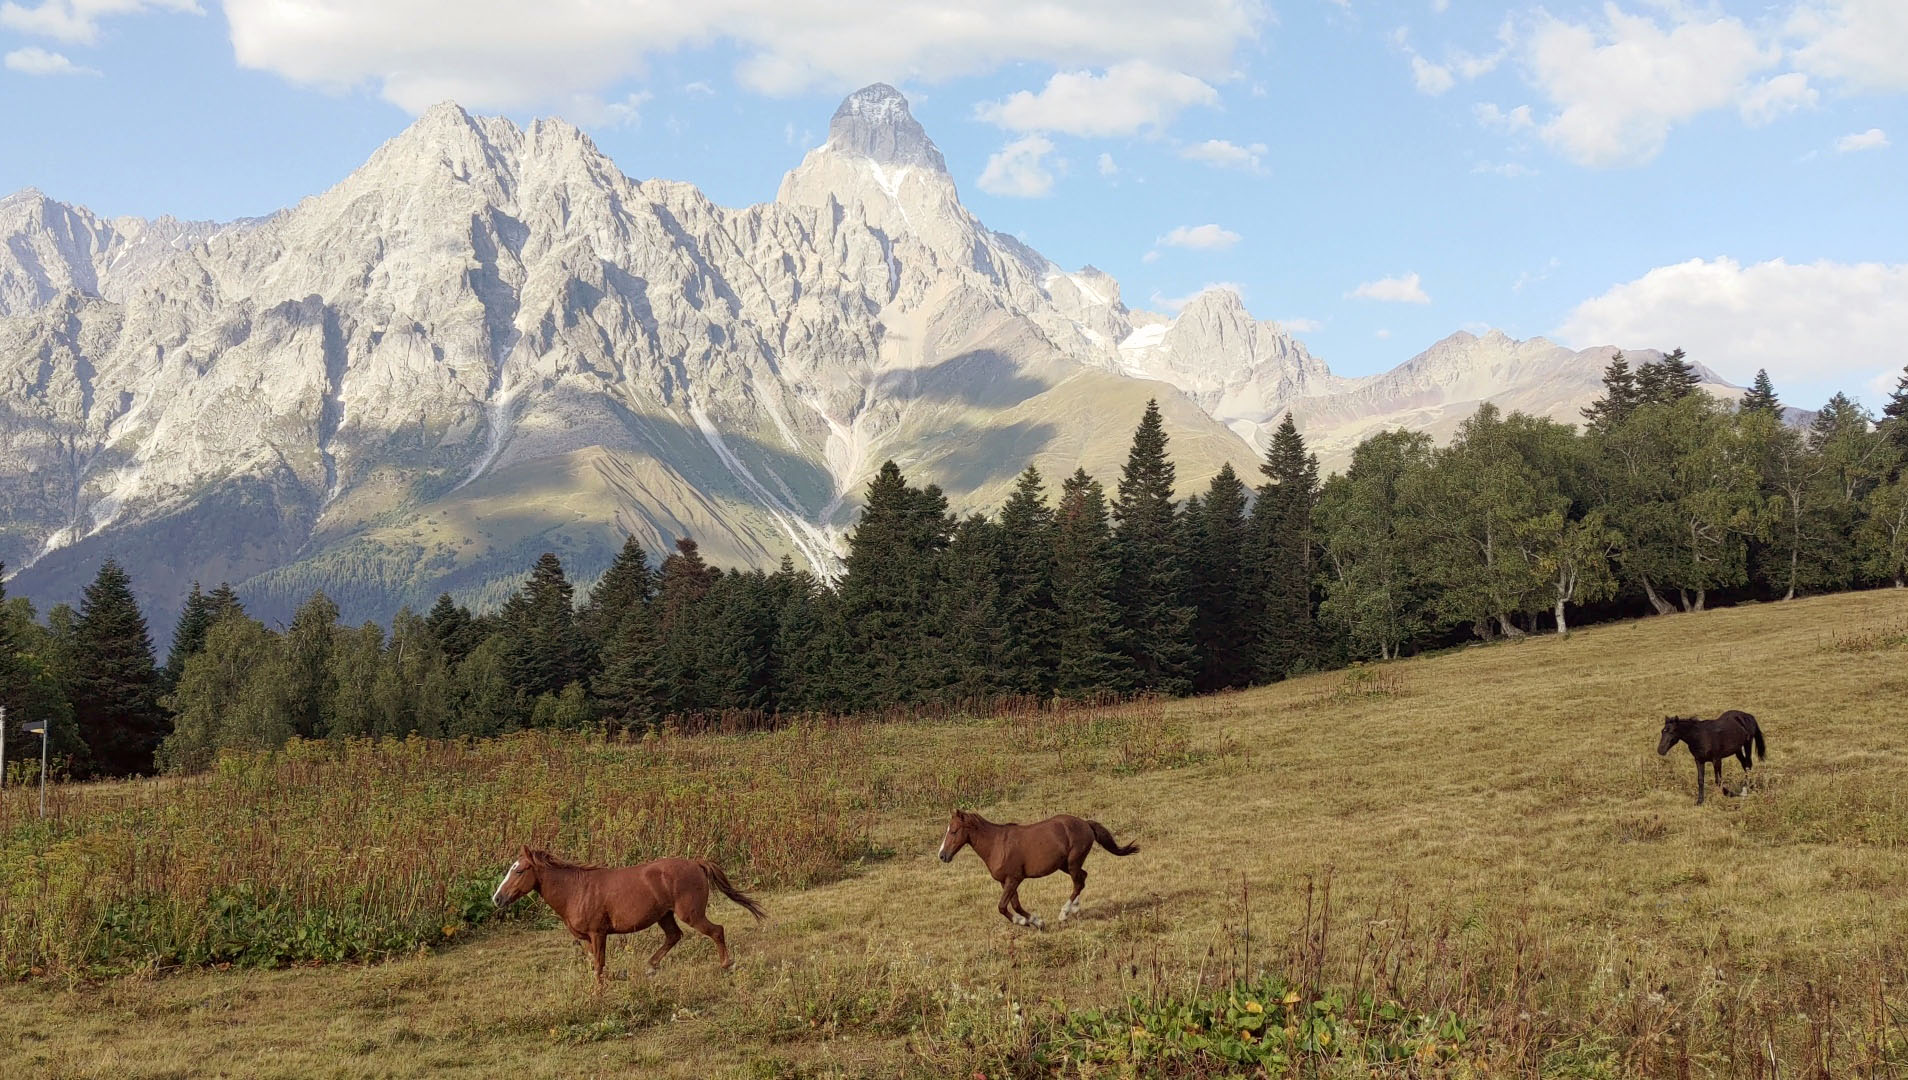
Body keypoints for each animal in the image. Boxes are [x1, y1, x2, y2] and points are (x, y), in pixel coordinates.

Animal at [491, 846, 766, 980]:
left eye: (519, 871)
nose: (497, 899)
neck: (575, 890)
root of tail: (697, 863)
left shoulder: (598, 933)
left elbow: (599, 965)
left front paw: (599, 993)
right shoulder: (586, 938)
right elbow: (596, 965)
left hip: (691, 913)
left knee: (716, 931)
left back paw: (727, 964)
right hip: (664, 915)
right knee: (674, 936)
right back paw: (651, 967)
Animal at [936, 809, 1138, 929]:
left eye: (953, 831)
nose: (942, 856)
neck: (996, 845)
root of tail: (1085, 823)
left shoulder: (1014, 879)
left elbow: (1002, 906)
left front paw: (1029, 921)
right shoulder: (1006, 881)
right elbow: (1015, 905)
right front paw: (1033, 921)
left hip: (1072, 863)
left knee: (1079, 882)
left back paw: (1064, 913)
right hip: (1065, 865)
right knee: (1083, 878)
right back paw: (1074, 909)